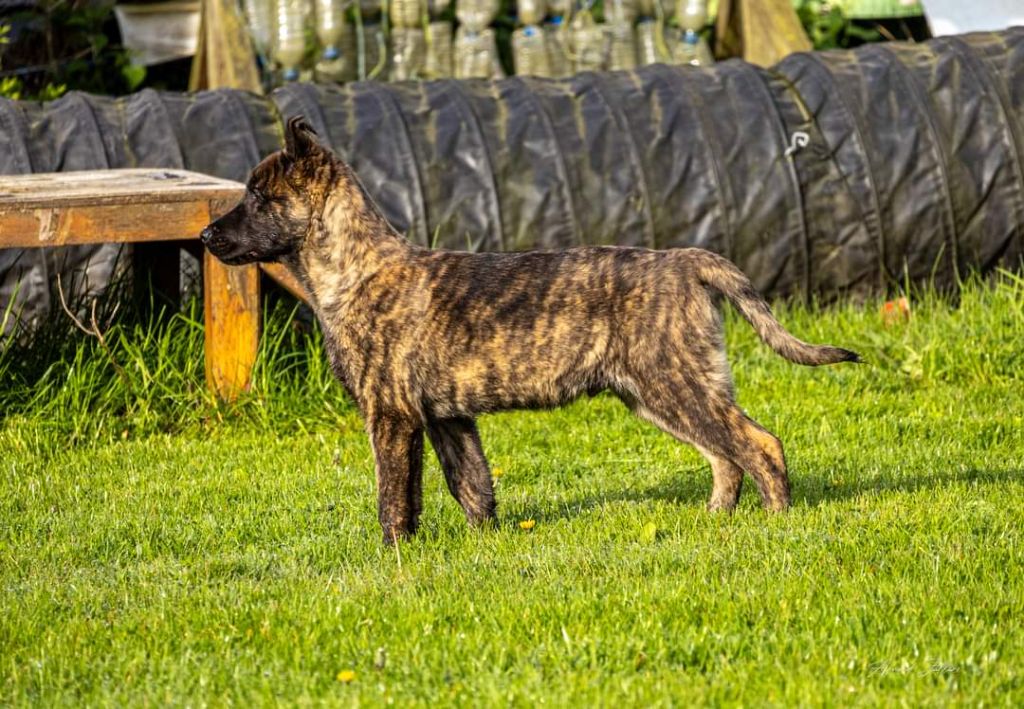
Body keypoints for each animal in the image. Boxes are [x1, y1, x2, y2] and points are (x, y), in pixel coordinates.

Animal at [203, 116, 860, 540]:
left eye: (260, 198)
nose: (207, 235)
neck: (357, 269)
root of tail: (686, 260)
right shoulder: (447, 419)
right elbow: (471, 486)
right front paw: (485, 545)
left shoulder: (391, 415)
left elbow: (395, 498)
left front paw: (393, 555)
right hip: (660, 393)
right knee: (725, 455)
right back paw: (715, 521)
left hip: (674, 383)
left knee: (758, 444)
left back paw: (777, 524)